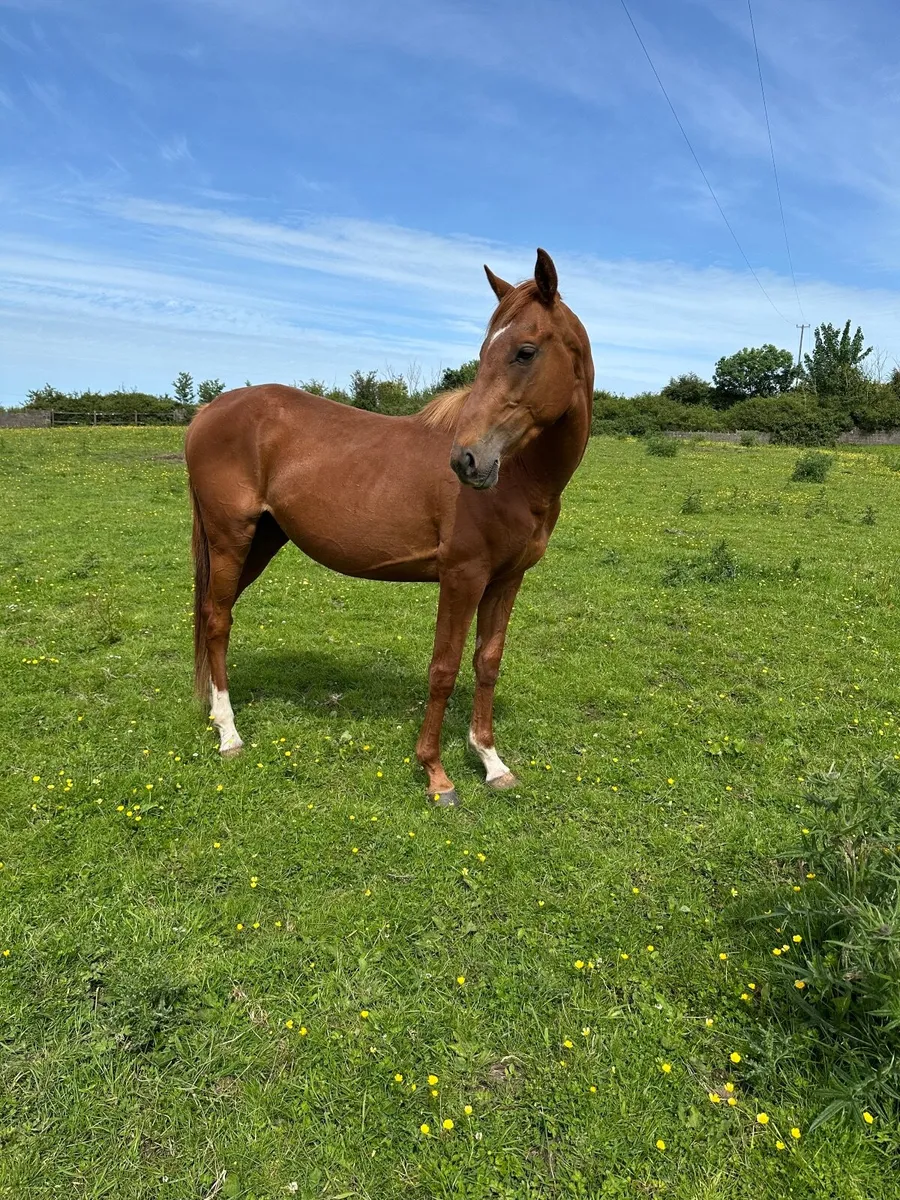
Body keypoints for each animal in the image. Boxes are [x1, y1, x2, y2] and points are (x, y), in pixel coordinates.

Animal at [185, 248, 594, 805]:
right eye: (486, 352)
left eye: (524, 351)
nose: (466, 461)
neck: (520, 475)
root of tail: (209, 410)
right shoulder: (462, 577)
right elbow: (443, 668)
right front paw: (437, 775)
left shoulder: (506, 580)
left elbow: (487, 663)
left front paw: (491, 761)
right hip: (231, 538)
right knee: (218, 620)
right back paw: (229, 733)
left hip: (262, 541)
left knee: (211, 614)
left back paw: (212, 713)